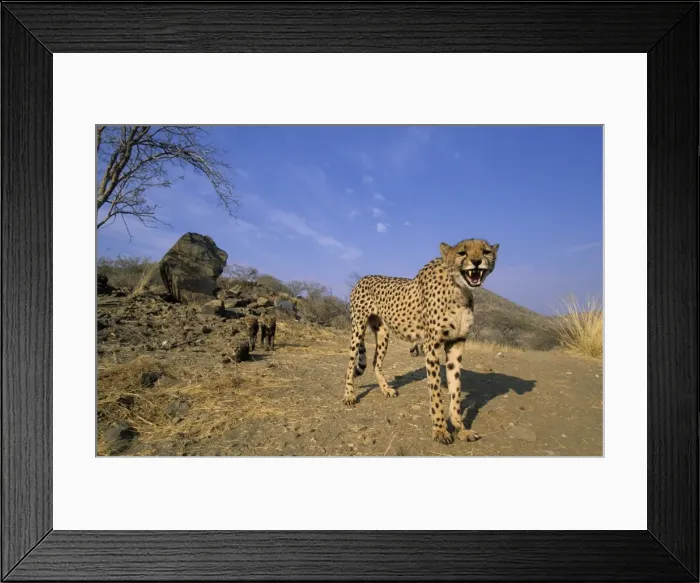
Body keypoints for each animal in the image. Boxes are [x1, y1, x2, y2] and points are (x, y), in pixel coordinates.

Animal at [343, 238, 499, 445]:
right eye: (462, 253)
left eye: (486, 251)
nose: (476, 262)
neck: (460, 289)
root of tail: (363, 278)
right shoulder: (431, 345)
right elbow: (436, 392)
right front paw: (440, 430)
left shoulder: (456, 343)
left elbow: (456, 389)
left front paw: (460, 427)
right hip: (358, 328)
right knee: (350, 364)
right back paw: (349, 395)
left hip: (383, 332)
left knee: (376, 362)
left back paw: (386, 389)